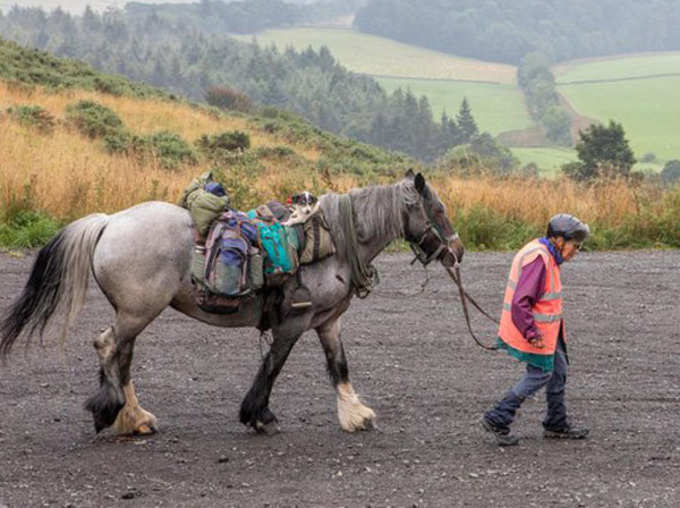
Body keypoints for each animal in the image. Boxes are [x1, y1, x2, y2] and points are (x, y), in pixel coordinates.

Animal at [1, 171, 462, 436]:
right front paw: (259, 414)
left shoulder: (328, 322)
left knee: (118, 353)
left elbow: (339, 366)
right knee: (110, 347)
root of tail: (109, 222)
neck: (332, 243)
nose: (457, 251)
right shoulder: (294, 323)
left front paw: (355, 414)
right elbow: (272, 366)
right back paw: (118, 412)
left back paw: (131, 416)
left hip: (134, 313)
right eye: (438, 209)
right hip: (138, 311)